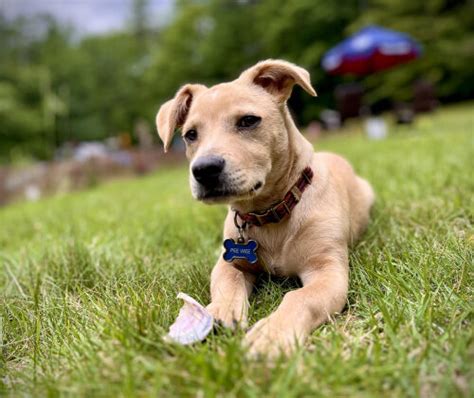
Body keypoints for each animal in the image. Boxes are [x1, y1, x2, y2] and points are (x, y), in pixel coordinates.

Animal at [156, 59, 374, 358]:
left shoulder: (328, 270)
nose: (204, 170)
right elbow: (227, 284)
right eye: (190, 135)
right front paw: (219, 312)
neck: (268, 212)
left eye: (249, 120)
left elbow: (300, 297)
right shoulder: (228, 263)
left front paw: (271, 334)